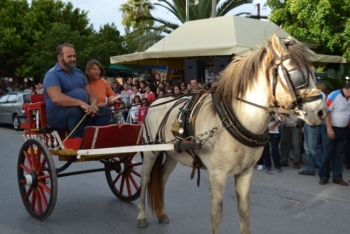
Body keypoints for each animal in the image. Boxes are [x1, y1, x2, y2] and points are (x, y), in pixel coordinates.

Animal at [136, 34, 328, 234]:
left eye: (314, 73)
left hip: (173, 154)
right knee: (145, 179)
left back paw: (162, 213)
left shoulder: (245, 172)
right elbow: (216, 216)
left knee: (162, 179)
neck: (235, 119)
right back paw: (141, 216)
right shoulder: (217, 174)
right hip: (151, 152)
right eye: (298, 76)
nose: (322, 112)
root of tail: (155, 102)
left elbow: (244, 212)